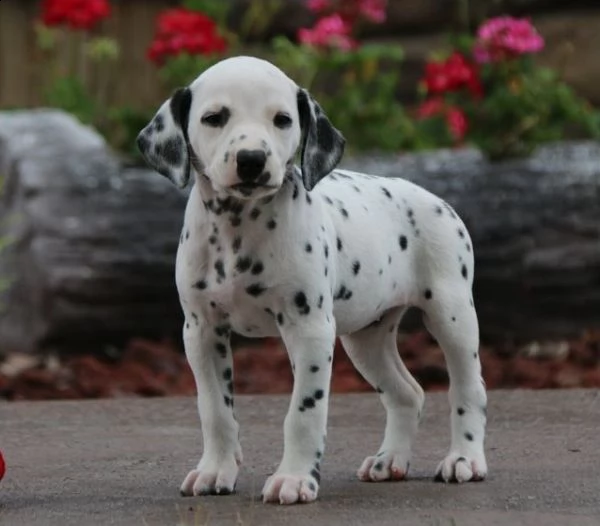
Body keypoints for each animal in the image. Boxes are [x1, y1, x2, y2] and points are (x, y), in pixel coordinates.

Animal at [137, 56, 488, 508]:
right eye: (214, 118)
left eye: (283, 120)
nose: (251, 159)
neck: (239, 230)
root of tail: (437, 199)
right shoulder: (201, 331)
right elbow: (215, 410)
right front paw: (216, 470)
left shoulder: (309, 330)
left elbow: (303, 413)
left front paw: (294, 478)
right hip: (366, 339)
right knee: (407, 392)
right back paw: (389, 460)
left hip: (452, 317)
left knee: (468, 389)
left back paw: (464, 459)